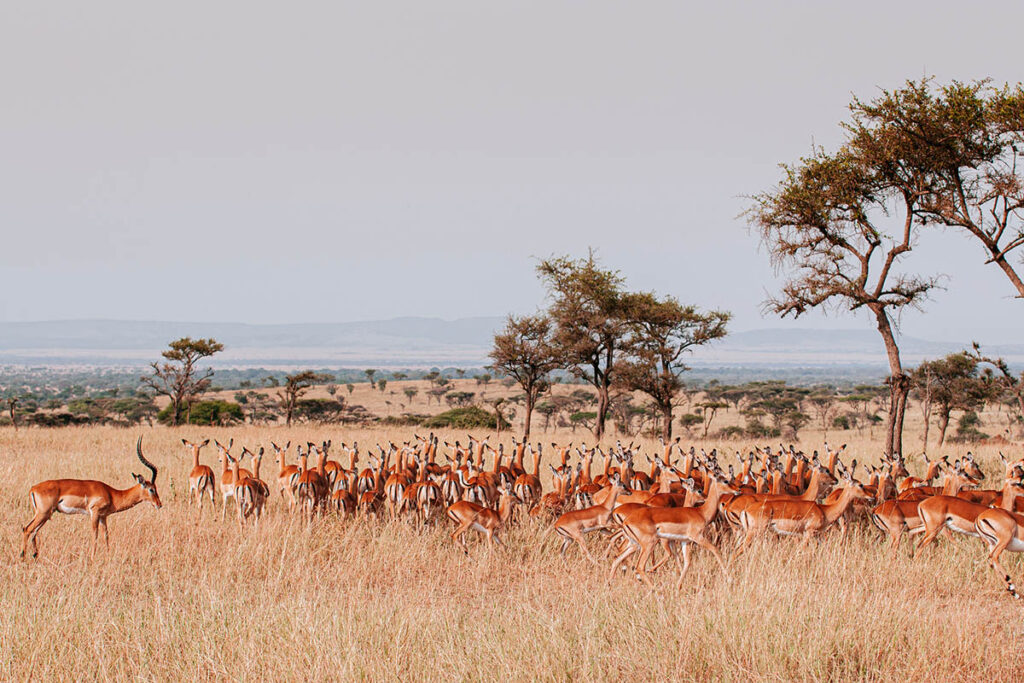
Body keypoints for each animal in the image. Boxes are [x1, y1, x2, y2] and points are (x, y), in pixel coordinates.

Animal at [21, 437, 161, 559]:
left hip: (45, 514)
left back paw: (35, 556)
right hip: (43, 513)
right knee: (27, 529)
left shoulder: (103, 517)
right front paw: (93, 558)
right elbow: (95, 535)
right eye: (151, 489)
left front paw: (108, 556)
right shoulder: (94, 513)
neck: (111, 493)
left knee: (32, 531)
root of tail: (33, 488)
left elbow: (106, 535)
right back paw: (23, 557)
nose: (159, 504)